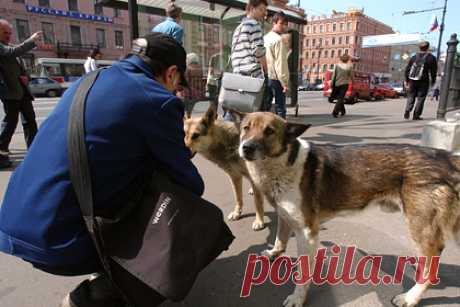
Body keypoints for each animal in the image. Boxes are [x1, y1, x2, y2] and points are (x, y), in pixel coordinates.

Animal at [232, 110, 460, 307]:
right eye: (246, 128)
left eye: (269, 131)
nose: (247, 147)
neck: (284, 163)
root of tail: (445, 157)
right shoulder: (285, 215)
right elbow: (280, 238)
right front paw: (273, 253)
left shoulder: (307, 232)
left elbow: (303, 274)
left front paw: (298, 298)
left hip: (418, 225)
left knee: (431, 264)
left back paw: (410, 298)